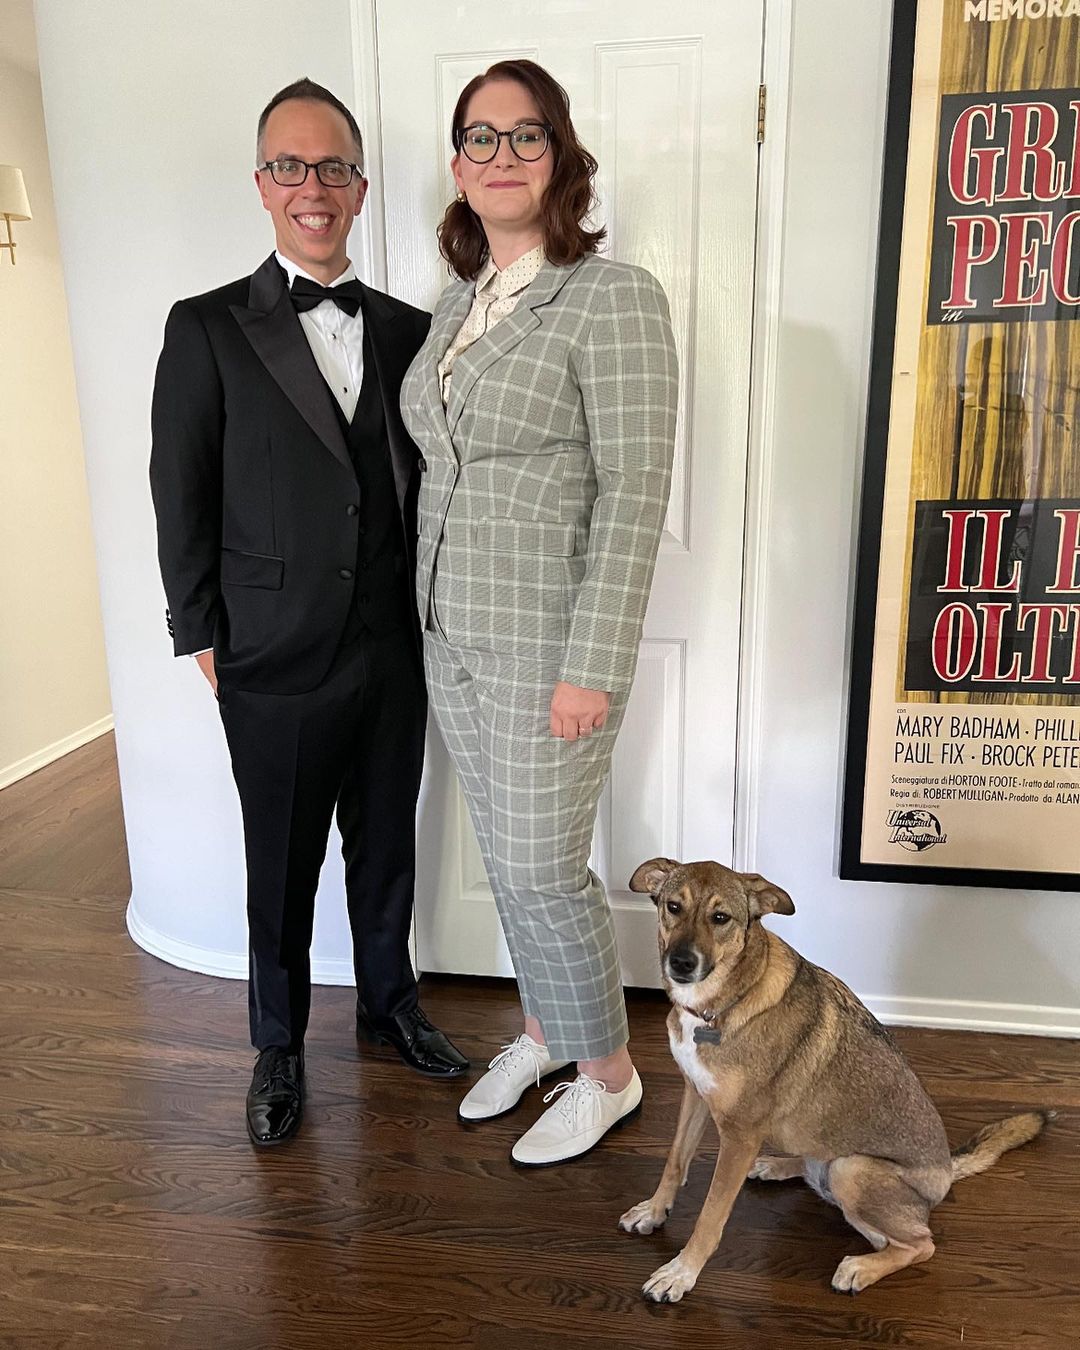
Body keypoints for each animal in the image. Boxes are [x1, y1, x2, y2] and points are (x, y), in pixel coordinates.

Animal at [619, 858, 1051, 1302]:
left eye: (720, 918)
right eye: (673, 907)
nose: (681, 963)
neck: (719, 1005)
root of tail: (946, 1171)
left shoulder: (739, 1136)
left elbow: (710, 1215)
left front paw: (681, 1272)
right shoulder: (695, 1094)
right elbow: (675, 1160)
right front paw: (654, 1210)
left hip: (852, 1170)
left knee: (919, 1244)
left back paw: (861, 1268)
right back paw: (777, 1165)